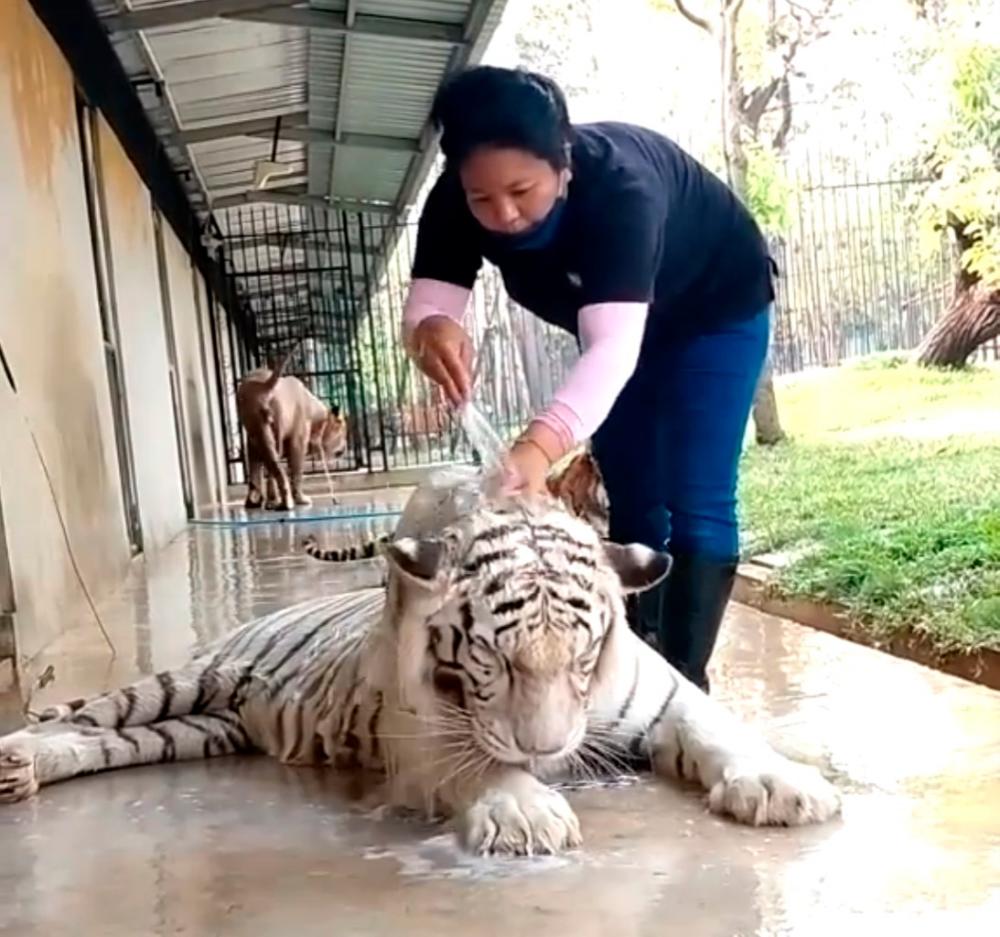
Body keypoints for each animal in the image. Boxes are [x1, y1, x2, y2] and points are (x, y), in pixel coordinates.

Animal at [0, 464, 844, 852]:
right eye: (493, 658)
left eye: (582, 656)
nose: (548, 749)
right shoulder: (419, 737)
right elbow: (478, 763)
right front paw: (526, 810)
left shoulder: (669, 694)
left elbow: (721, 727)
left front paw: (783, 786)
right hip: (175, 683)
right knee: (84, 715)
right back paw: (15, 758)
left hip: (193, 733)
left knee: (99, 742)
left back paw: (27, 772)